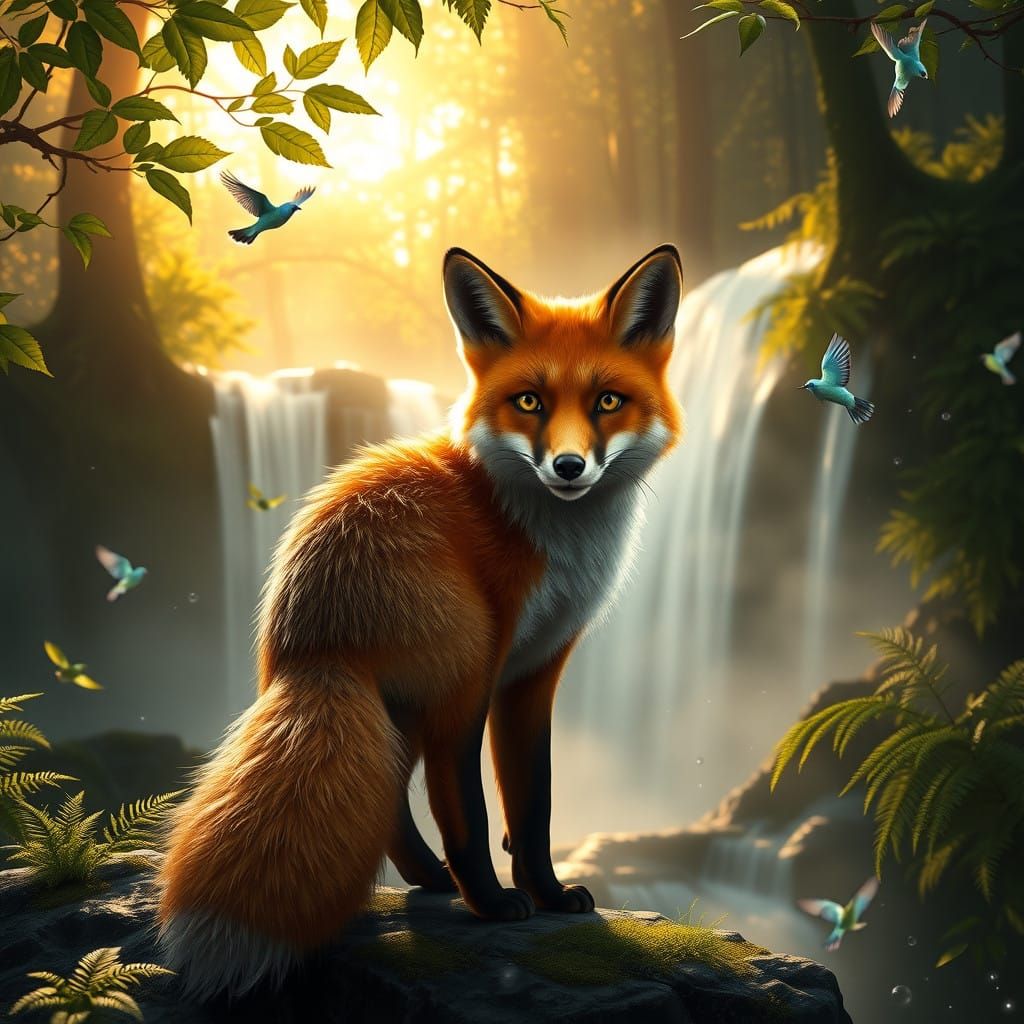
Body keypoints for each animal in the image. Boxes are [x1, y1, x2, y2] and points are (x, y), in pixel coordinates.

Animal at [157, 243, 685, 1000]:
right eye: (529, 402)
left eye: (607, 402)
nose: (568, 466)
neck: (540, 528)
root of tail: (316, 640)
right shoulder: (502, 672)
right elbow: (504, 807)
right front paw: (525, 901)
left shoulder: (537, 669)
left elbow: (533, 805)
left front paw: (552, 895)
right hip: (459, 677)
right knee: (450, 803)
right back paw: (483, 901)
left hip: (400, 711)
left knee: (390, 803)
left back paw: (430, 881)